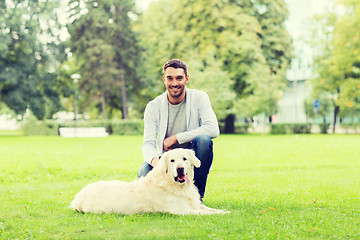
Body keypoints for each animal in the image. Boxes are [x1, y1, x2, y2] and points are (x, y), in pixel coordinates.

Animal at [70, 149, 228, 215]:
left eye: (184, 159)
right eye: (172, 160)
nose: (180, 169)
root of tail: (79, 195)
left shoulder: (194, 205)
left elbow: (209, 209)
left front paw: (226, 211)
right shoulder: (181, 210)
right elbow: (206, 213)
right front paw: (224, 214)